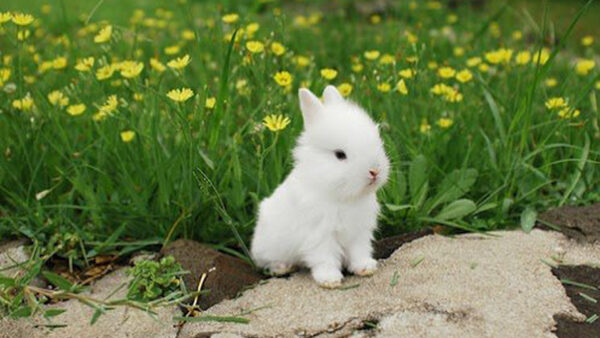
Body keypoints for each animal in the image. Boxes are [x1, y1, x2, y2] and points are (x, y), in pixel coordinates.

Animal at [248, 84, 390, 288]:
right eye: (340, 155)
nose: (375, 171)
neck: (341, 196)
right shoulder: (320, 236)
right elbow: (325, 259)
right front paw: (330, 280)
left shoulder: (358, 232)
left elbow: (359, 251)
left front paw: (366, 268)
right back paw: (282, 268)